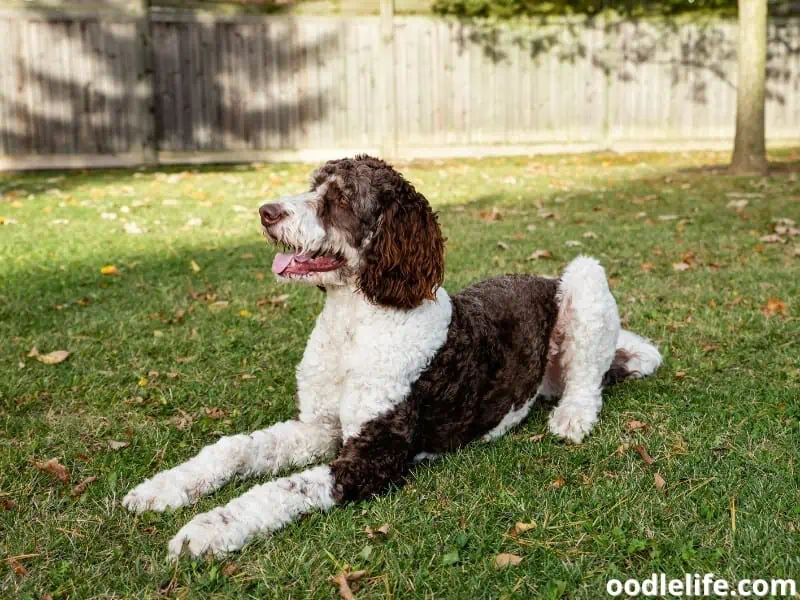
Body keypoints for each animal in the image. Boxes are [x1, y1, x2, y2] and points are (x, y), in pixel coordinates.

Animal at [123, 155, 664, 556]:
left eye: (340, 199)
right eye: (312, 185)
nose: (266, 211)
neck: (353, 325)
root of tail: (544, 279)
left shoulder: (374, 454)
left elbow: (284, 489)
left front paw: (210, 527)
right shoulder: (319, 427)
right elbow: (235, 449)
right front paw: (162, 488)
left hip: (585, 278)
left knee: (588, 379)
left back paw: (573, 418)